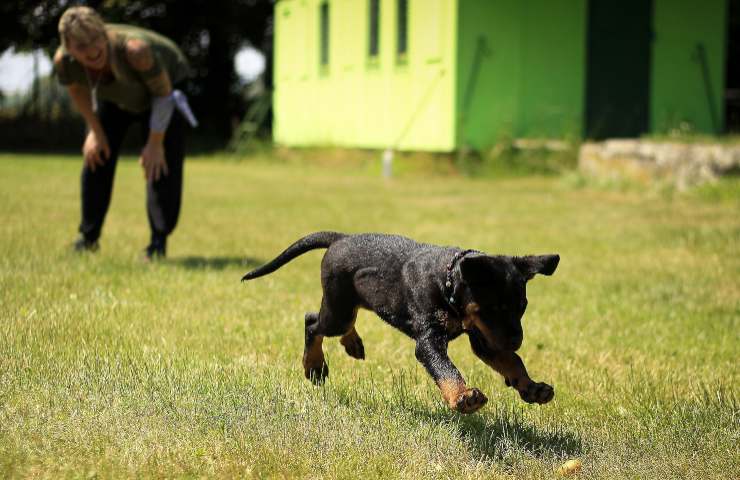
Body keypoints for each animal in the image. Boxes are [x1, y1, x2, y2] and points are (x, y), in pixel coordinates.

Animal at [243, 232, 560, 412]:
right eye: (494, 308)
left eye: (522, 307)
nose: (517, 340)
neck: (446, 282)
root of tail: (341, 238)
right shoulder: (430, 340)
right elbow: (446, 369)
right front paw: (462, 396)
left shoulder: (484, 338)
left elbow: (512, 362)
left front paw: (532, 387)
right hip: (337, 310)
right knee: (312, 322)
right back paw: (314, 366)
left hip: (348, 304)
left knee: (342, 322)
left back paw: (352, 344)